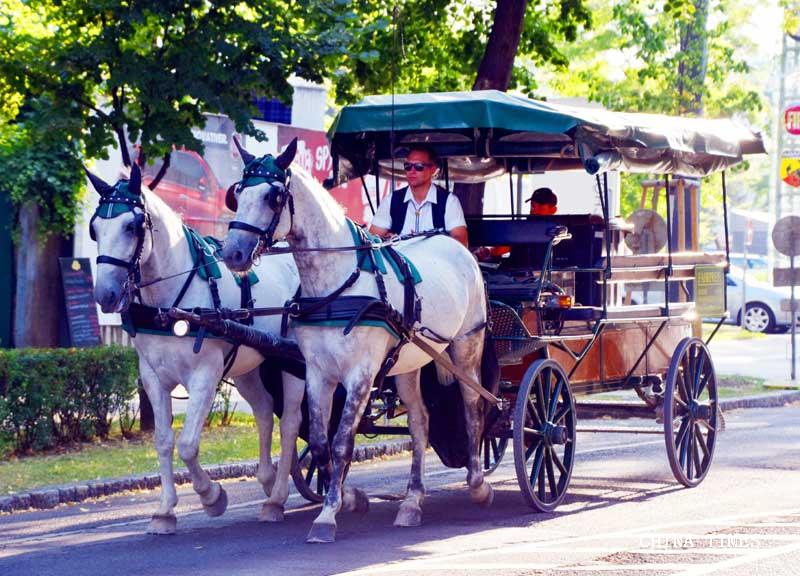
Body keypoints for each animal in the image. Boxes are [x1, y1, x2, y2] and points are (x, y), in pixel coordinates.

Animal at [87, 162, 303, 533]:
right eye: (94, 228)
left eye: (132, 226)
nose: (106, 294)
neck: (170, 302)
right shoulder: (152, 378)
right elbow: (163, 441)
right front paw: (164, 511)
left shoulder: (205, 375)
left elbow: (188, 445)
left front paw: (211, 496)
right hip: (247, 362)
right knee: (263, 410)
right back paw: (266, 479)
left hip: (296, 364)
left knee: (290, 421)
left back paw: (277, 497)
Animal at [221, 140, 492, 543]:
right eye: (238, 193)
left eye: (274, 196)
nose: (233, 253)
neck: (338, 284)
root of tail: (455, 246)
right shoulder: (318, 372)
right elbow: (320, 442)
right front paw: (347, 499)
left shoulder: (361, 375)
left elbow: (342, 442)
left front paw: (327, 515)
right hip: (408, 363)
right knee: (420, 422)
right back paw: (412, 502)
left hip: (466, 346)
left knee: (473, 406)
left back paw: (478, 484)